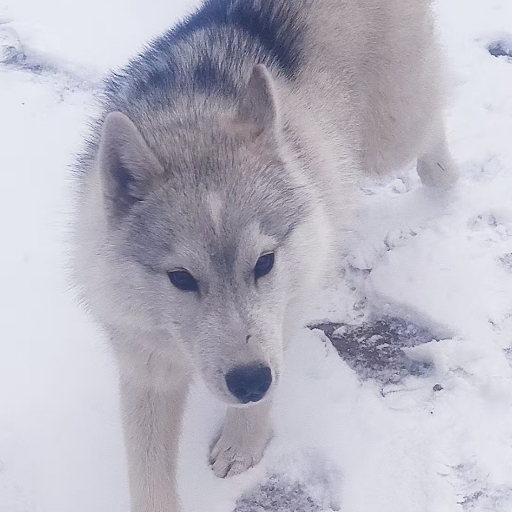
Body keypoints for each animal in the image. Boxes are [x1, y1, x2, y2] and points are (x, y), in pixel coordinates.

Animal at [72, 0, 458, 510]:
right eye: (181, 278)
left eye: (264, 263)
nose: (250, 381)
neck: (193, 115)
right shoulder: (144, 363)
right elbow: (147, 474)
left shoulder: (285, 311)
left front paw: (243, 443)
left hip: (390, 135)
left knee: (432, 122)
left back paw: (445, 181)